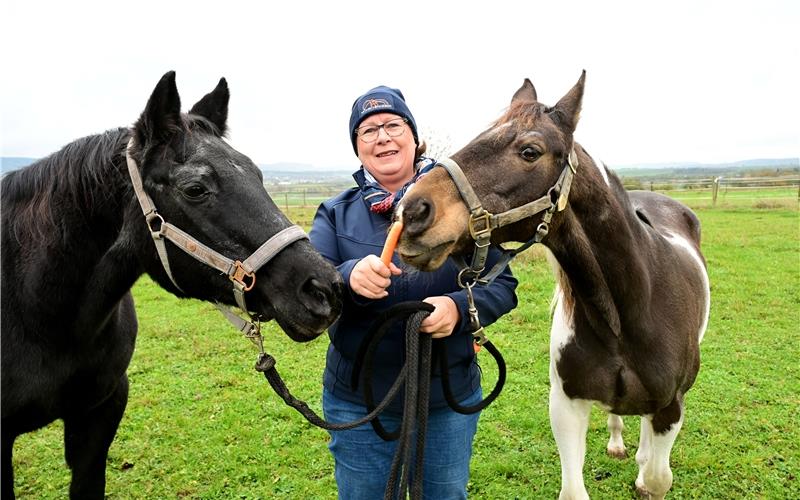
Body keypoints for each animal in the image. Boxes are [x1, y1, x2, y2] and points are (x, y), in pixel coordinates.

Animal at [396, 72, 708, 498]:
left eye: (530, 151)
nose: (411, 212)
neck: (630, 315)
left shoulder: (670, 407)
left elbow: (657, 479)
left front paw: (645, 473)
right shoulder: (567, 404)